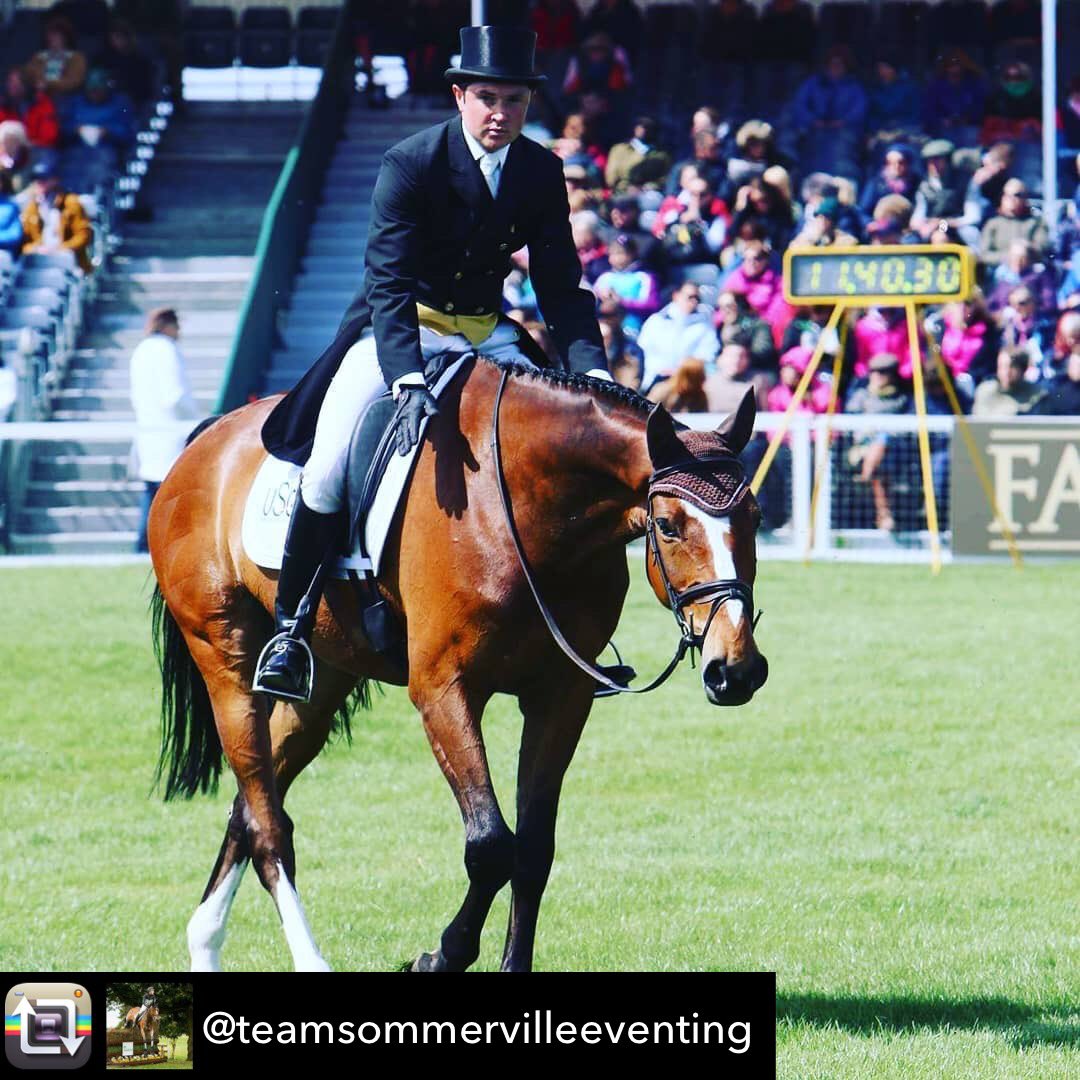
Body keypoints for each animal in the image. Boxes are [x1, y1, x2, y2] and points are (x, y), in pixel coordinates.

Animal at [149, 356, 768, 972]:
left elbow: (533, 849)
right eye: (668, 526)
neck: (524, 508)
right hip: (224, 661)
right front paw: (440, 956)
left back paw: (205, 942)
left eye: (757, 517)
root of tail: (207, 441)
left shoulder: (560, 696)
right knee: (268, 824)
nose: (735, 669)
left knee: (251, 804)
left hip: (323, 681)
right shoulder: (444, 690)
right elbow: (491, 846)